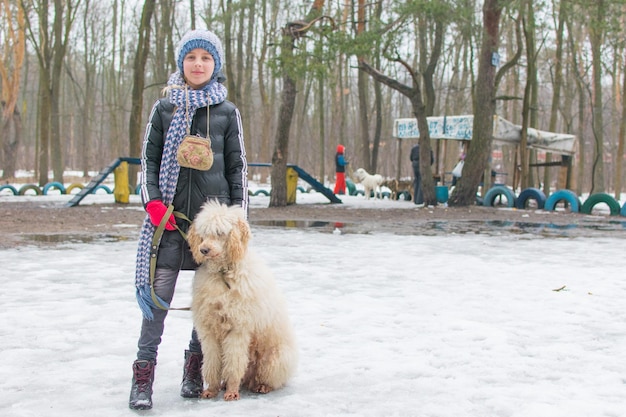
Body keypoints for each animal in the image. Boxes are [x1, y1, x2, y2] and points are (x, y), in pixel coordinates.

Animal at [185, 202, 298, 400]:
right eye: (203, 233)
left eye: (220, 233)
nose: (203, 250)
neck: (223, 273)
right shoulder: (209, 329)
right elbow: (212, 361)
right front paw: (212, 389)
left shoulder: (237, 328)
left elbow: (233, 362)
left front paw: (231, 391)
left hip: (275, 358)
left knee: (268, 377)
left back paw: (262, 386)